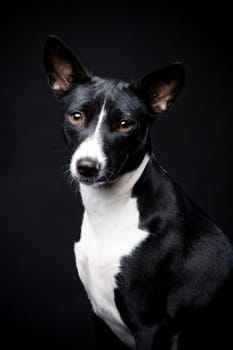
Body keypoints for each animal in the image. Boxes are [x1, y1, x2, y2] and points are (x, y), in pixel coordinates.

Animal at [43, 37, 233, 348]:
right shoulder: (100, 317)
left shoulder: (149, 327)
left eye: (125, 124)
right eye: (76, 116)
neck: (109, 213)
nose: (87, 167)